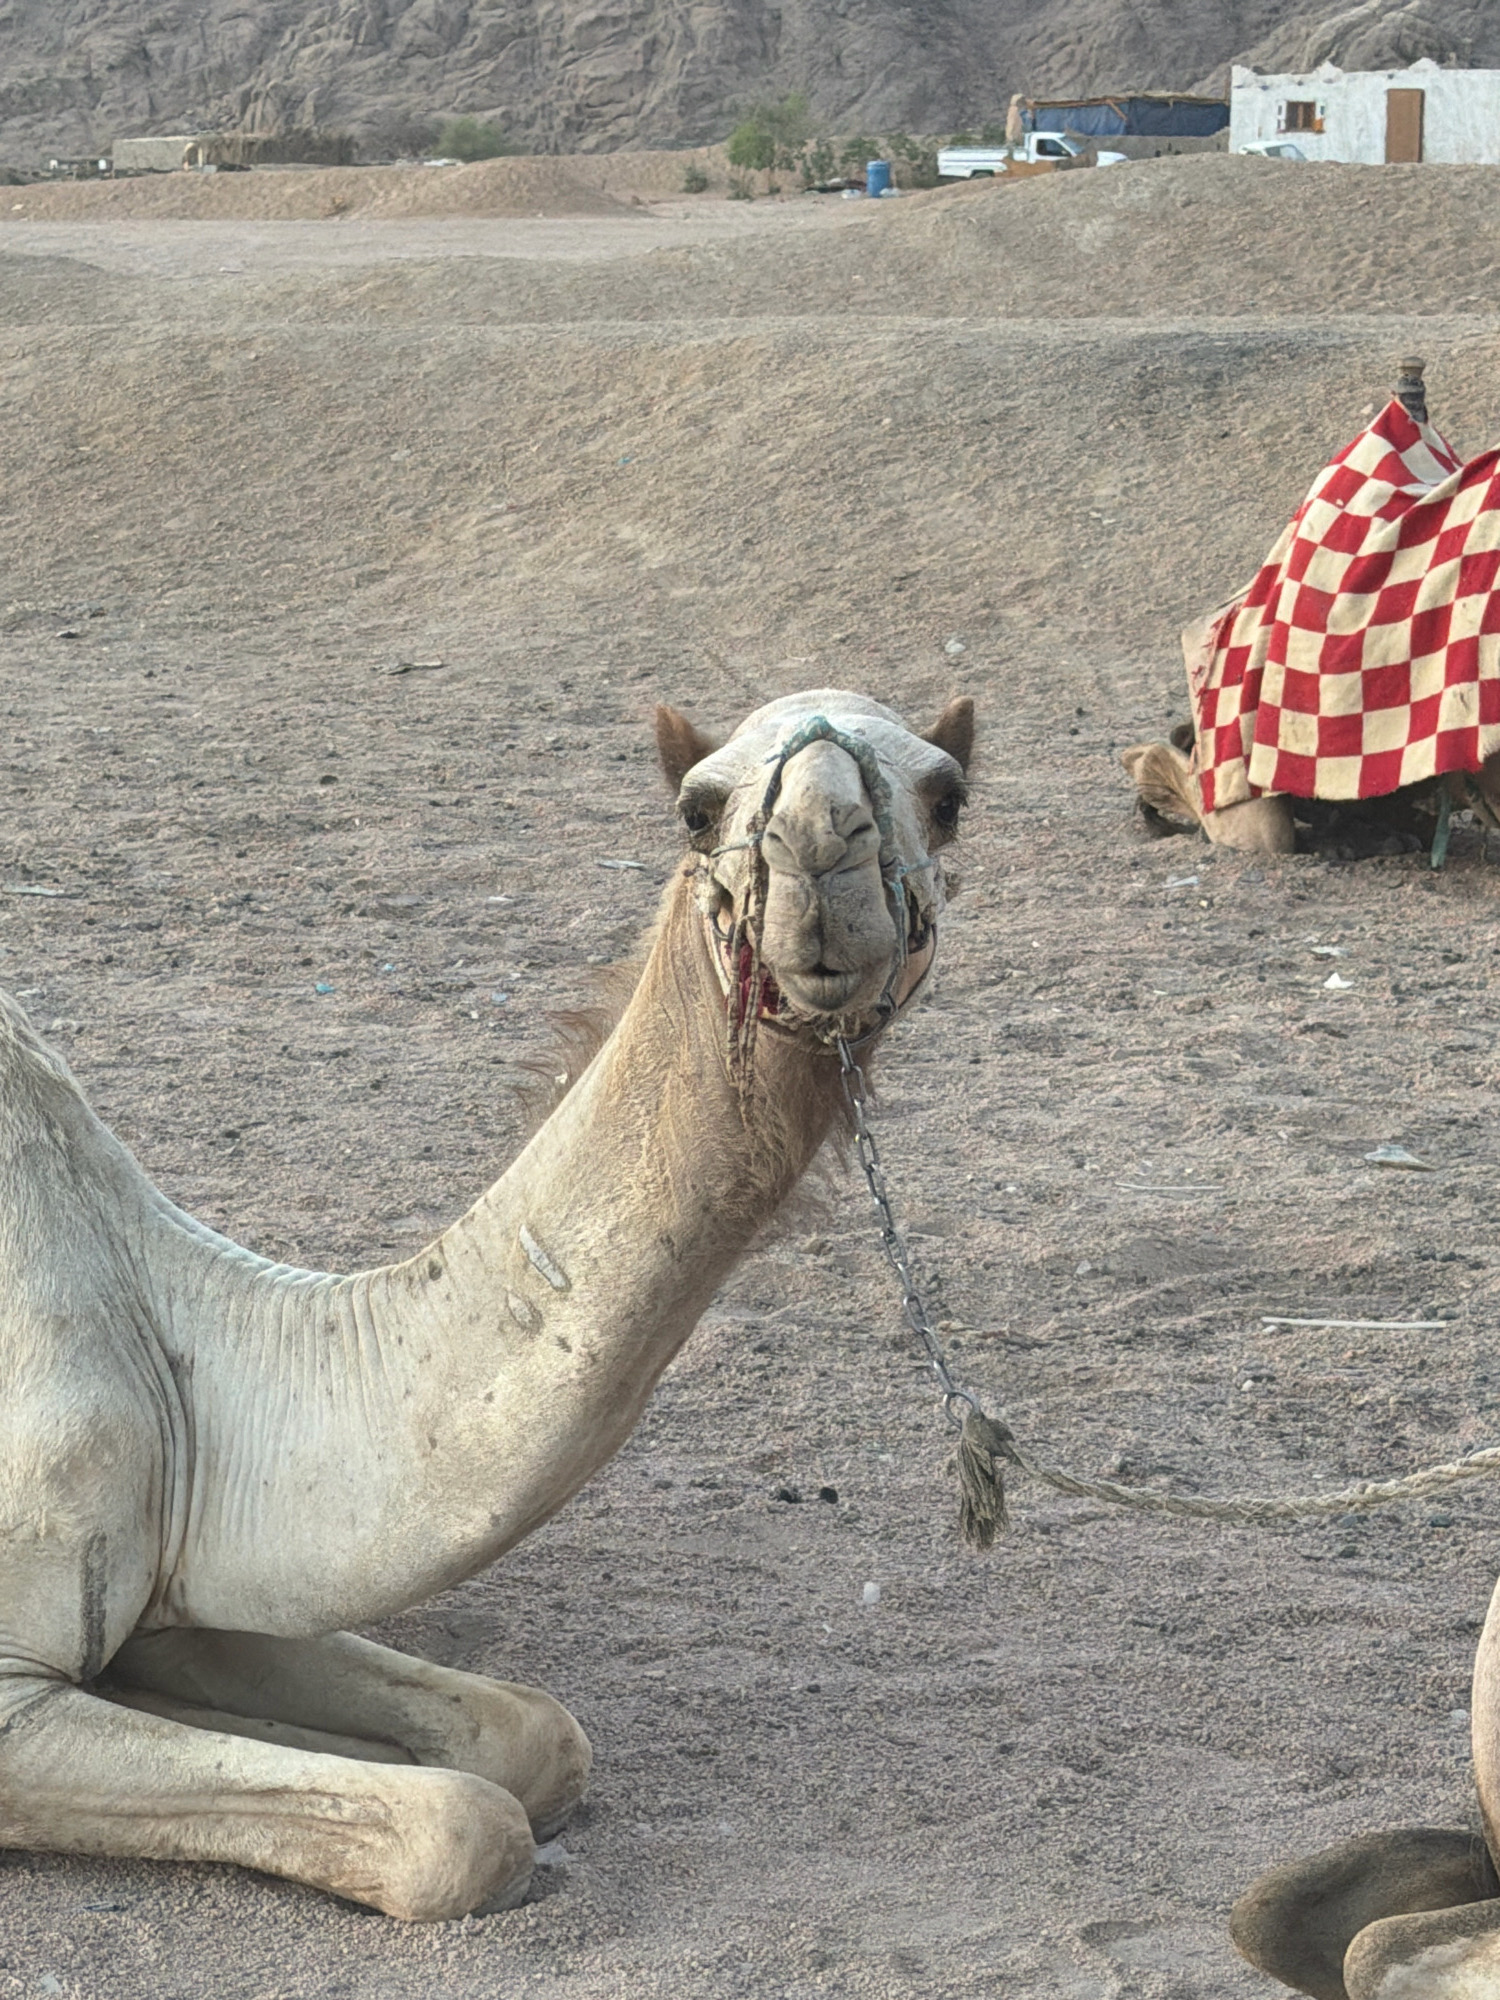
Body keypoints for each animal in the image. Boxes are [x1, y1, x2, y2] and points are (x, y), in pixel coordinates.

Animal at [0, 687, 973, 1922]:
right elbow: (459, 1826)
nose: (819, 838)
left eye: (947, 793)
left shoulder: (192, 1577)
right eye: (697, 807)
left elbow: (533, 1737)